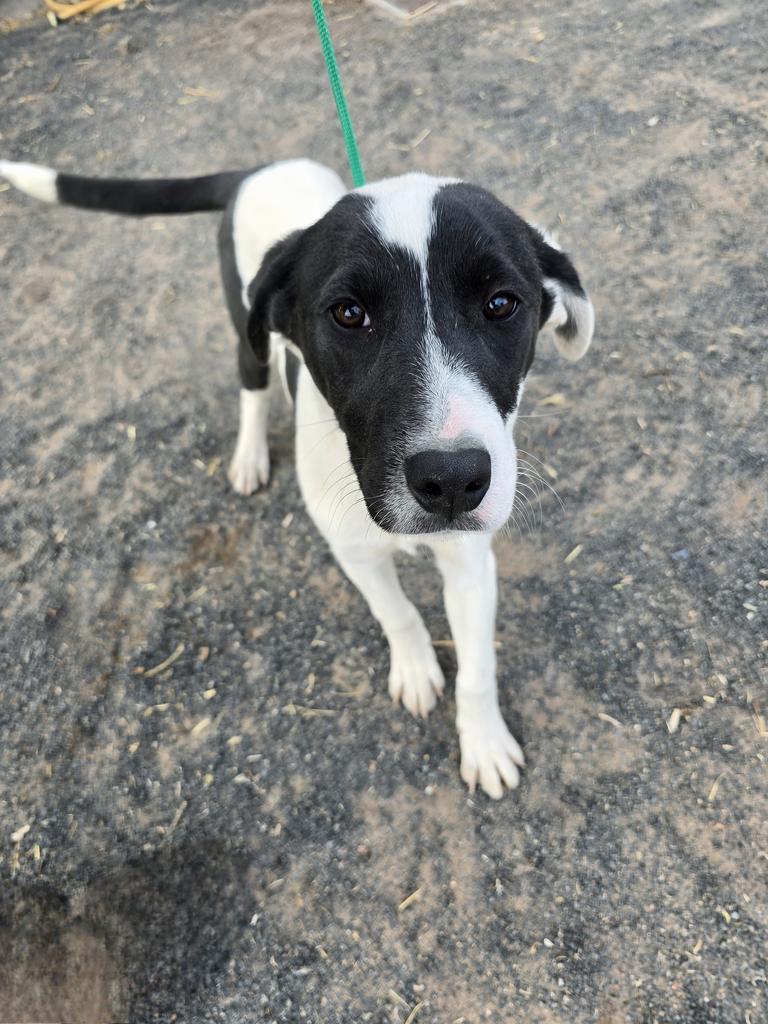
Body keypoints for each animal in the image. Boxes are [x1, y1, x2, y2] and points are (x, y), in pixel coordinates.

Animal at [0, 157, 593, 798]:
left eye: (502, 304)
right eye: (349, 314)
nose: (453, 479)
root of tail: (256, 168)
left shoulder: (469, 563)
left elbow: (478, 666)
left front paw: (483, 742)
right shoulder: (353, 552)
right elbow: (398, 613)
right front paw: (415, 668)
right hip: (248, 337)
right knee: (252, 391)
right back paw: (249, 456)